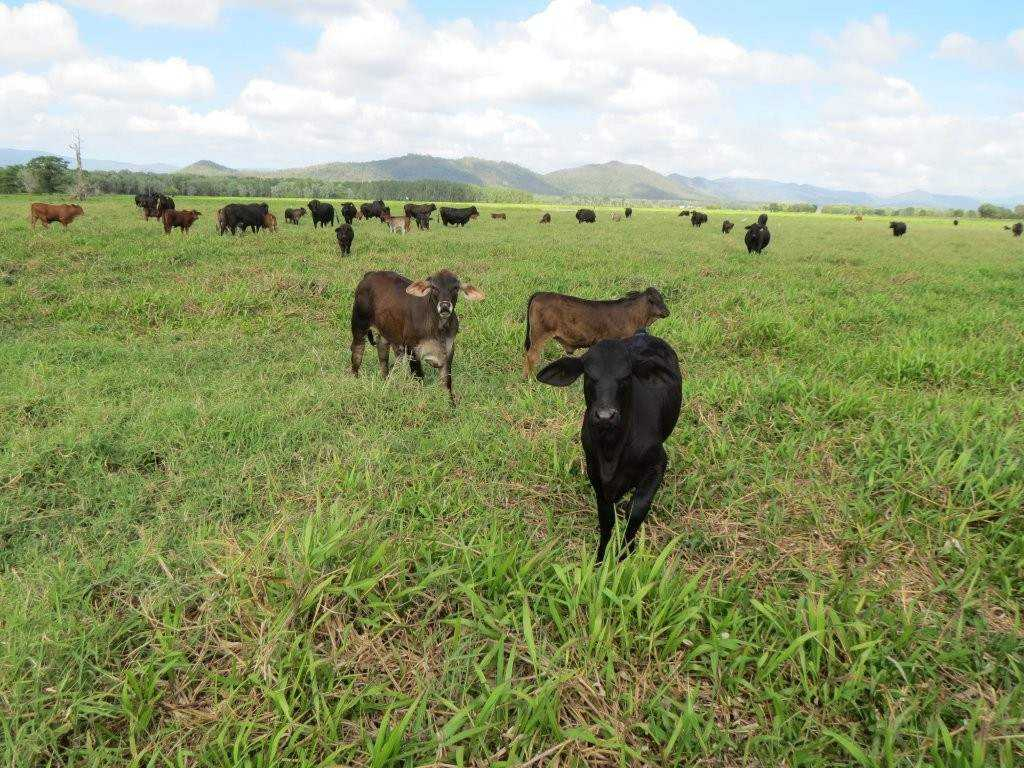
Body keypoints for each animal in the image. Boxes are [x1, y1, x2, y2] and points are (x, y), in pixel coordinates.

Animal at [350, 269, 484, 405]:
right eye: (434, 287)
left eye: (455, 288)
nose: (445, 306)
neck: (439, 329)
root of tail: (370, 274)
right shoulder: (412, 351)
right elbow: (419, 377)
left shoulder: (448, 351)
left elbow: (447, 383)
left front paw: (451, 405)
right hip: (359, 325)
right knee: (357, 352)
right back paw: (355, 379)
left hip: (385, 332)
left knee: (382, 355)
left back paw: (385, 380)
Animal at [523, 287, 670, 377]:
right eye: (652, 300)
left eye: (662, 298)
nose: (667, 312)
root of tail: (540, 294)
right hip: (539, 335)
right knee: (532, 356)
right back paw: (530, 378)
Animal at [536, 331, 682, 562]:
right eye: (588, 375)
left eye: (626, 376)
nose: (605, 415)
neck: (611, 451)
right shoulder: (596, 475)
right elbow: (606, 520)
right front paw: (601, 560)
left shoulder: (658, 464)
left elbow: (637, 510)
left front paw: (624, 555)